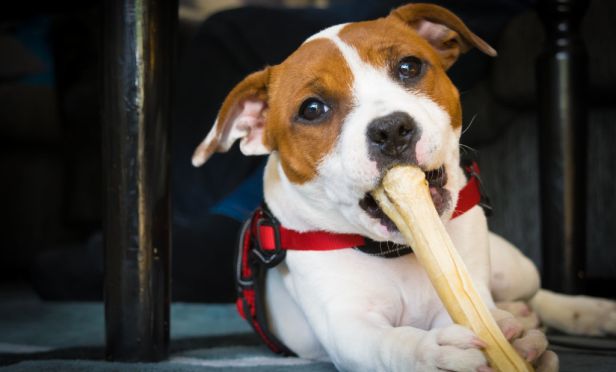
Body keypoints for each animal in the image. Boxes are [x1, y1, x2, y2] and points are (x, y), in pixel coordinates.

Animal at [192, 3, 616, 372]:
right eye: (312, 109)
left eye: (409, 67)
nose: (391, 129)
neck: (395, 251)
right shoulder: (347, 325)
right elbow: (389, 343)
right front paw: (433, 353)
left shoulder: (467, 294)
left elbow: (482, 313)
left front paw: (520, 344)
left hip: (515, 269)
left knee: (538, 294)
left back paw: (588, 312)